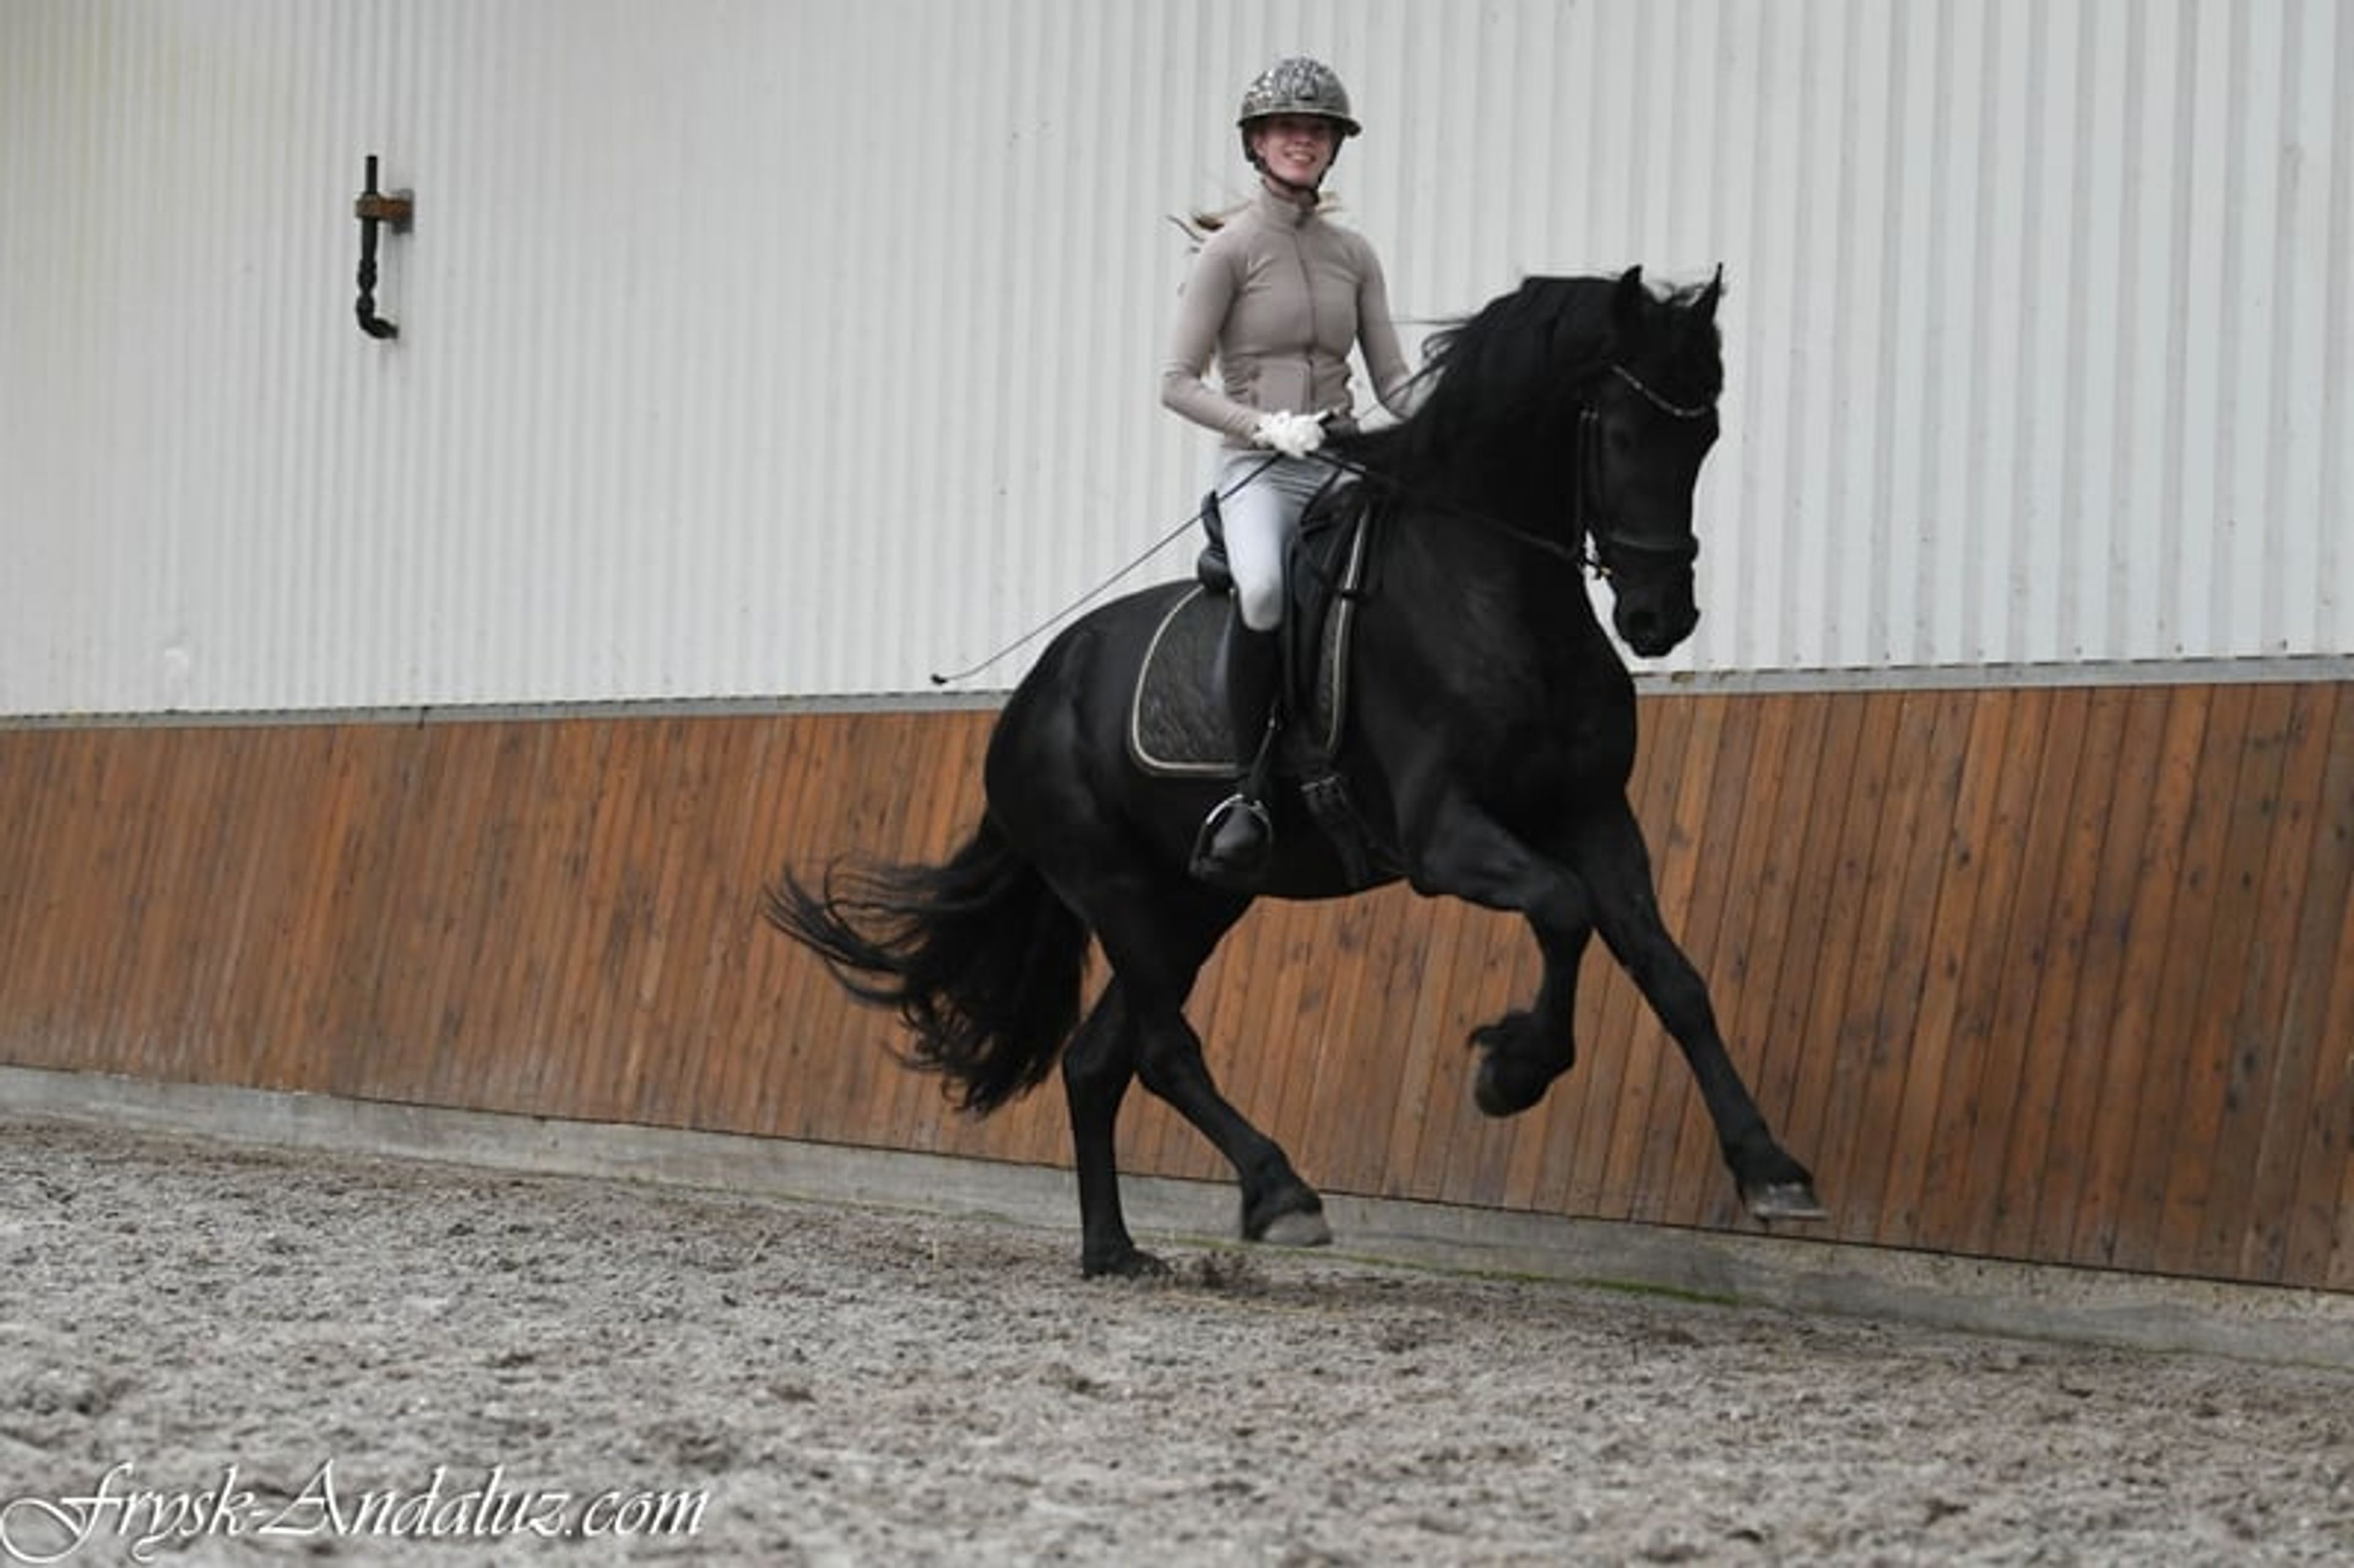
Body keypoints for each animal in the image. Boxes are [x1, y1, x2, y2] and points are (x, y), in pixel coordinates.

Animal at [766, 266, 1826, 1277]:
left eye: (1706, 435)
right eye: (1620, 434)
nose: (1659, 619)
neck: (1500, 594)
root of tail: (1030, 698)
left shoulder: (1597, 813)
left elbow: (1672, 975)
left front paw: (1772, 1170)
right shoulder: (1445, 837)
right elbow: (1561, 910)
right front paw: (1511, 1070)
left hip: (1192, 902)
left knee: (1098, 1059)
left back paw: (1114, 1251)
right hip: (1114, 889)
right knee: (1162, 1048)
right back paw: (1280, 1193)